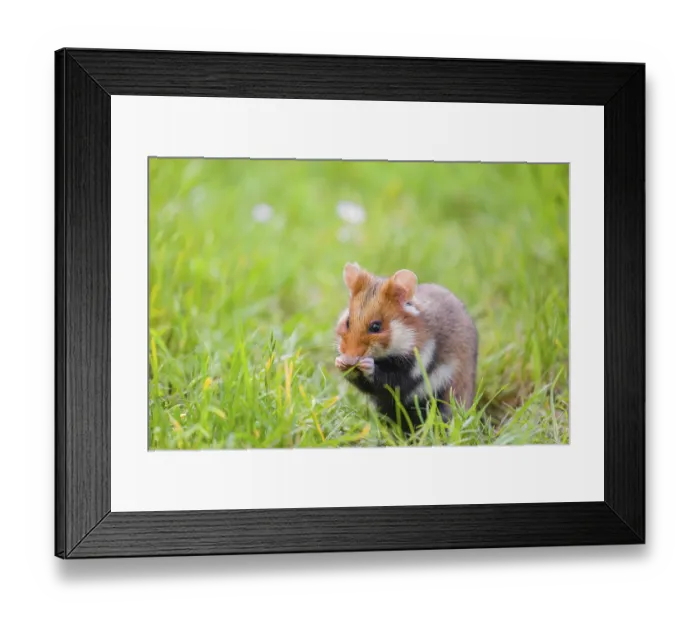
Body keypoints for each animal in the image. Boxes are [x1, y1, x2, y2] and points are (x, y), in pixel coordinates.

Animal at [334, 262, 478, 427]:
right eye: (347, 322)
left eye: (376, 327)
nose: (350, 358)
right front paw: (340, 362)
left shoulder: (415, 365)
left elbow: (389, 380)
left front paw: (366, 364)